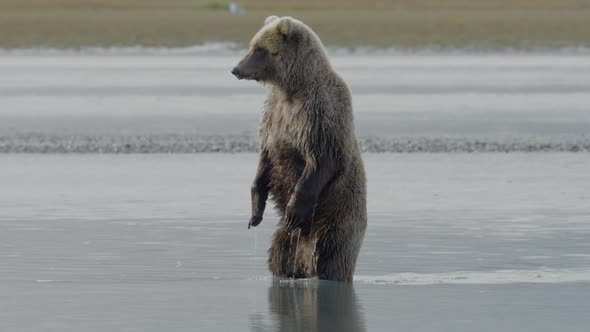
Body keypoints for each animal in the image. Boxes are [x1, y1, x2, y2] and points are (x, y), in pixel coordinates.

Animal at [234, 14, 368, 280]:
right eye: (252, 45)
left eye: (260, 49)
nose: (236, 69)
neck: (293, 87)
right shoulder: (274, 115)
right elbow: (266, 161)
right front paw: (255, 213)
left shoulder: (318, 114)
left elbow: (321, 161)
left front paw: (295, 211)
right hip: (283, 240)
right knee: (278, 256)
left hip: (336, 219)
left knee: (330, 255)